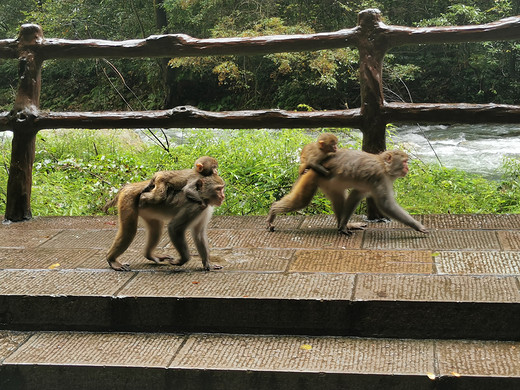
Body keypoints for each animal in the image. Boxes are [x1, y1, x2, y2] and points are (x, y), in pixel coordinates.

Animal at [268, 149, 426, 235]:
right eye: (404, 162)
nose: (407, 168)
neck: (384, 166)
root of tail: (311, 165)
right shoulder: (379, 178)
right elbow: (386, 205)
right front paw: (417, 226)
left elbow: (355, 195)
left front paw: (344, 225)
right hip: (312, 177)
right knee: (301, 201)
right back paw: (273, 211)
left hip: (327, 182)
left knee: (339, 197)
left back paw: (341, 224)